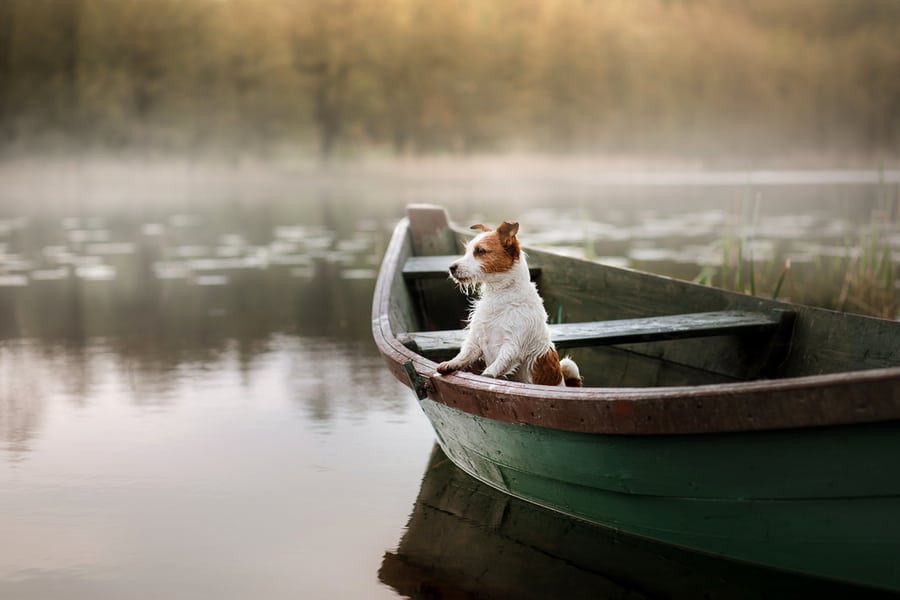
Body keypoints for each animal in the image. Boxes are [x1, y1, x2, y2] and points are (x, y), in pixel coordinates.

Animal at [436, 223, 584, 386]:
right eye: (467, 251)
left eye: (480, 251)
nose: (451, 267)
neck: (500, 295)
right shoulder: (476, 340)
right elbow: (465, 354)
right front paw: (451, 363)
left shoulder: (512, 345)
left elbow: (498, 364)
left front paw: (486, 377)